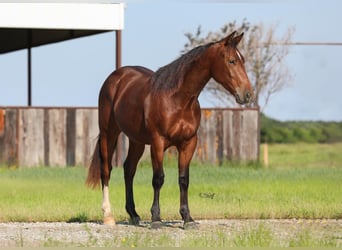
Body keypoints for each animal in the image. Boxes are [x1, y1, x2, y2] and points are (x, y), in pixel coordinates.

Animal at [87, 30, 252, 229]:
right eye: (231, 61)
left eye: (242, 60)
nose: (247, 94)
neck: (178, 99)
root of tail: (116, 77)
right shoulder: (158, 142)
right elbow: (158, 178)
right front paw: (156, 218)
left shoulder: (189, 143)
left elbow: (184, 179)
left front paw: (187, 218)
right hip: (109, 132)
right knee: (106, 169)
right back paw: (108, 215)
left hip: (137, 141)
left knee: (129, 169)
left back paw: (133, 214)